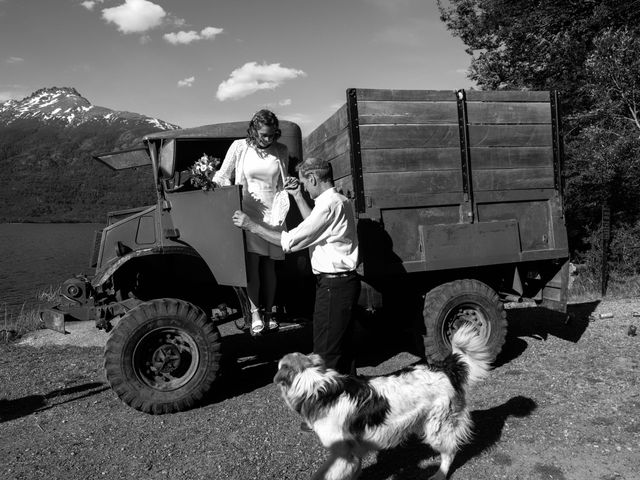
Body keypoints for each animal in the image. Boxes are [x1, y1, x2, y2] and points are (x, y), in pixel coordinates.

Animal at [272, 322, 492, 480]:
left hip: (437, 428)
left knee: (450, 451)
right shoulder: (352, 455)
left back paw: (439, 474)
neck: (316, 387)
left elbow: (323, 474)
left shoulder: (342, 453)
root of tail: (444, 367)